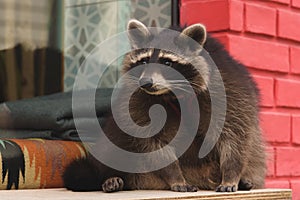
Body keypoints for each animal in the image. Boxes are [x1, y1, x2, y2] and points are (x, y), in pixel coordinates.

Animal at [62, 19, 264, 192]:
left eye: (167, 62)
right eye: (144, 61)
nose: (145, 83)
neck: (172, 92)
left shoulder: (228, 90)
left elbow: (235, 136)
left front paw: (231, 174)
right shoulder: (138, 100)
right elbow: (154, 142)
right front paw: (175, 176)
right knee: (112, 146)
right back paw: (109, 177)